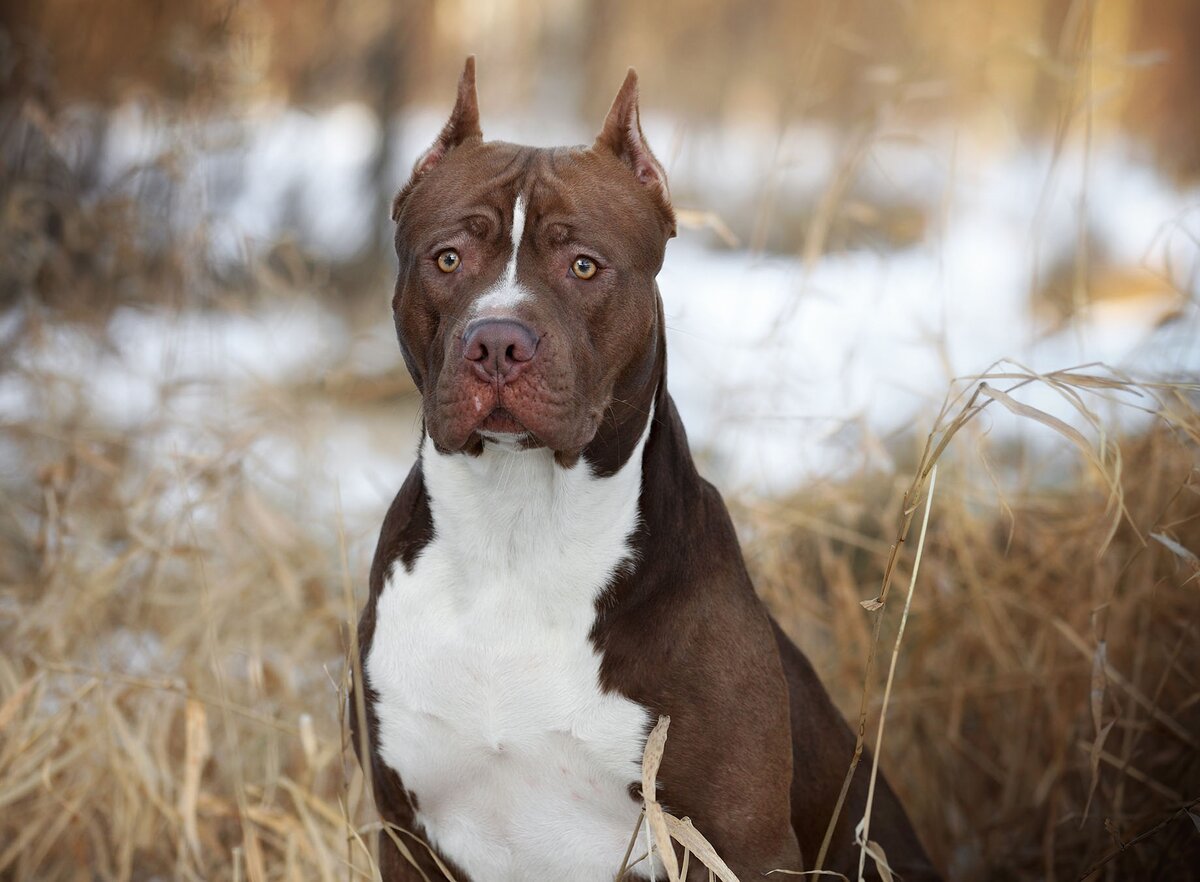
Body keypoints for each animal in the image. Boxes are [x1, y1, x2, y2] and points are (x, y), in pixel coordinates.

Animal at [350, 57, 940, 882]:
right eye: (447, 259)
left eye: (584, 266)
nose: (496, 343)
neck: (517, 530)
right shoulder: (404, 831)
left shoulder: (737, 840)